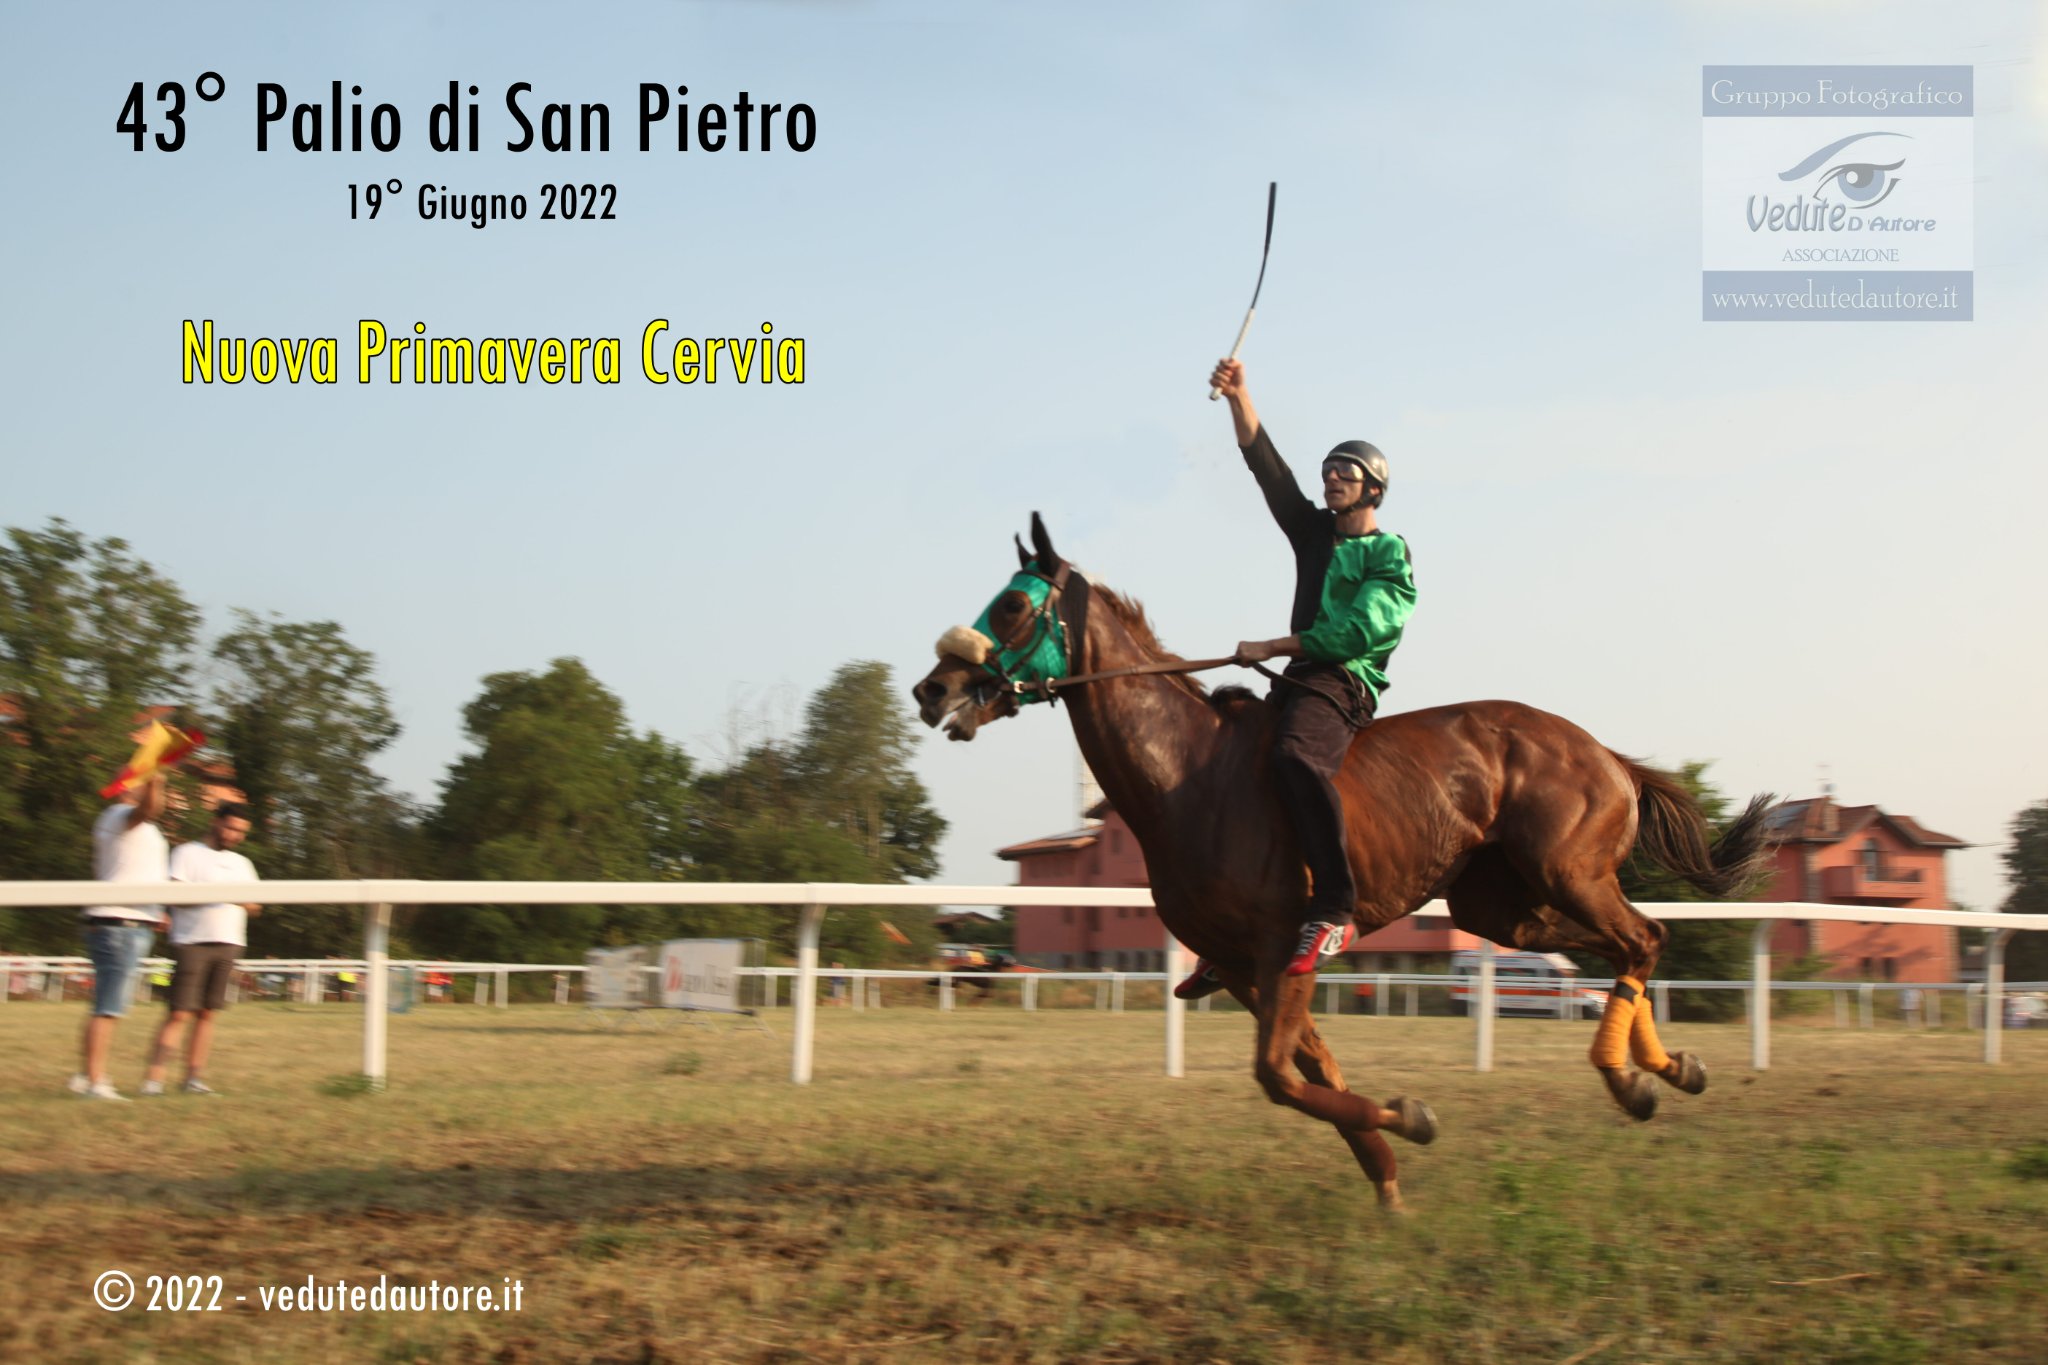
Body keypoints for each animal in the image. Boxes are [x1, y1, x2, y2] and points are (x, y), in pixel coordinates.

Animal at [913, 517, 1777, 1211]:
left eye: (1012, 605)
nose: (932, 687)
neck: (1188, 776)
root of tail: (1609, 756)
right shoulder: (1238, 965)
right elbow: (1314, 1067)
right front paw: (1387, 1166)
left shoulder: (1282, 943)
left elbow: (1279, 1075)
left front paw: (1408, 1120)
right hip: (1500, 907)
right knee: (1631, 942)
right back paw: (1667, 1067)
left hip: (1570, 871)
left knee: (1643, 937)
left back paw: (1630, 1078)